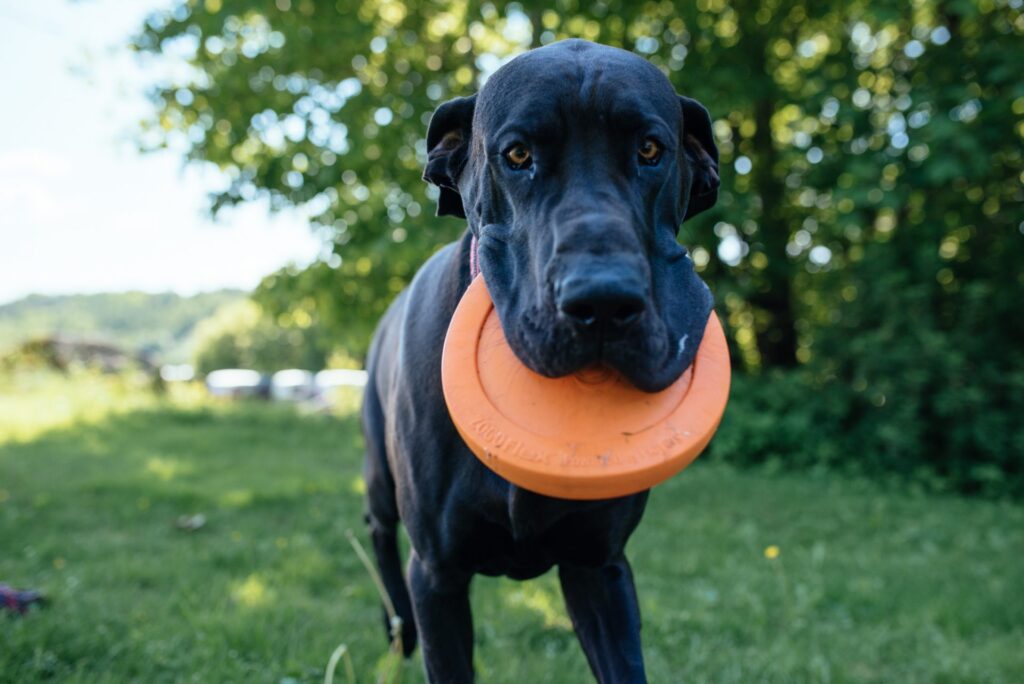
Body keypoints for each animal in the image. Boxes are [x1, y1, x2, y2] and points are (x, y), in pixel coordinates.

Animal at [360, 40, 720, 679]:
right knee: (378, 532)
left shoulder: (599, 567)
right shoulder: (438, 576)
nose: (603, 301)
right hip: (380, 476)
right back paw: (396, 630)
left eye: (650, 150)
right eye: (518, 154)